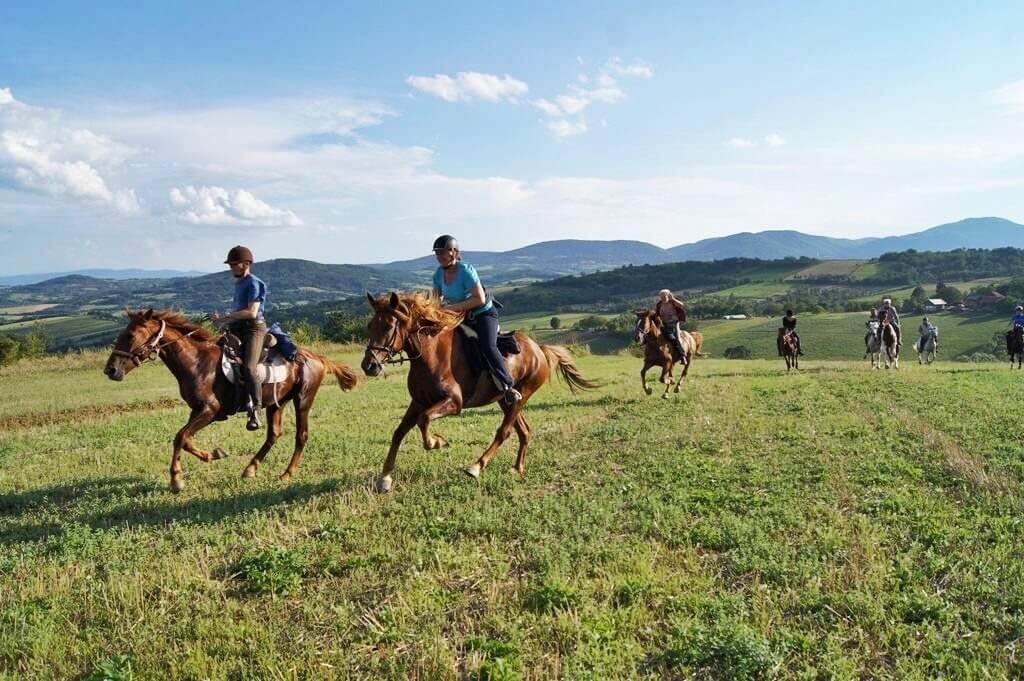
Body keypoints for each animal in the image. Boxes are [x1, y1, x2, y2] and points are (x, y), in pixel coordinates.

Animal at [99, 311, 356, 491]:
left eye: (131, 336)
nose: (110, 370)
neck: (196, 361)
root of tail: (317, 357)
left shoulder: (210, 411)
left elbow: (180, 437)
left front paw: (176, 480)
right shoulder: (198, 411)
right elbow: (185, 439)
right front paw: (213, 455)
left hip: (303, 400)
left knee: (300, 436)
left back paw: (286, 474)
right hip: (277, 403)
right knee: (274, 434)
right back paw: (250, 468)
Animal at [360, 290, 598, 489]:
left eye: (388, 326)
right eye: (370, 325)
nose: (368, 366)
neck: (429, 354)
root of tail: (538, 349)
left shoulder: (453, 403)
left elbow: (424, 420)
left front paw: (437, 442)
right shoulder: (419, 402)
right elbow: (399, 432)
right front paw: (385, 478)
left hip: (524, 393)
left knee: (504, 431)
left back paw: (476, 466)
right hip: (507, 399)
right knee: (524, 431)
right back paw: (518, 468)